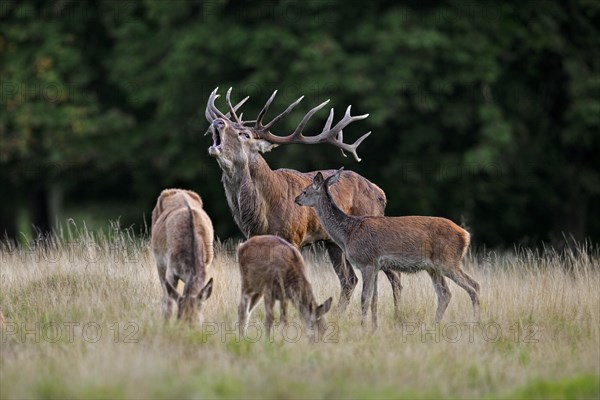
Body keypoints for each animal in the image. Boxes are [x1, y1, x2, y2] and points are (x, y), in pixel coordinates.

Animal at [151, 188, 214, 324]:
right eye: (179, 321)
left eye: (199, 323)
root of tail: (179, 190)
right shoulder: (170, 269)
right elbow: (168, 306)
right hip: (159, 262)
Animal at [206, 86, 404, 316]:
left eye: (244, 134)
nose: (218, 122)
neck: (262, 212)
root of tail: (381, 193)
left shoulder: (294, 236)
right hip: (333, 242)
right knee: (349, 279)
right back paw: (338, 314)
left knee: (394, 276)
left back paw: (397, 314)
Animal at [296, 168, 482, 328]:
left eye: (305, 191)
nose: (296, 199)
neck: (347, 234)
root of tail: (466, 235)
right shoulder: (376, 266)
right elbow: (374, 299)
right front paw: (374, 327)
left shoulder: (367, 262)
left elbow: (364, 298)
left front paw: (363, 327)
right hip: (433, 267)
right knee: (445, 294)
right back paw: (435, 324)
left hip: (447, 261)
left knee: (473, 286)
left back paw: (475, 322)